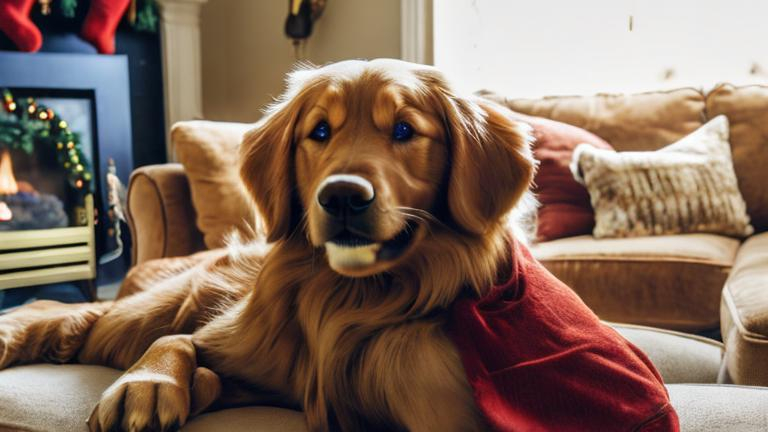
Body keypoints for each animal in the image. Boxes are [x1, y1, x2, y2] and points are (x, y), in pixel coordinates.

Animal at [0, 58, 536, 432]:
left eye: (405, 130)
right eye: (319, 131)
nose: (342, 197)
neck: (346, 300)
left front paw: (186, 386)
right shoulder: (229, 335)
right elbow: (179, 340)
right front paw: (147, 386)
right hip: (145, 312)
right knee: (71, 312)